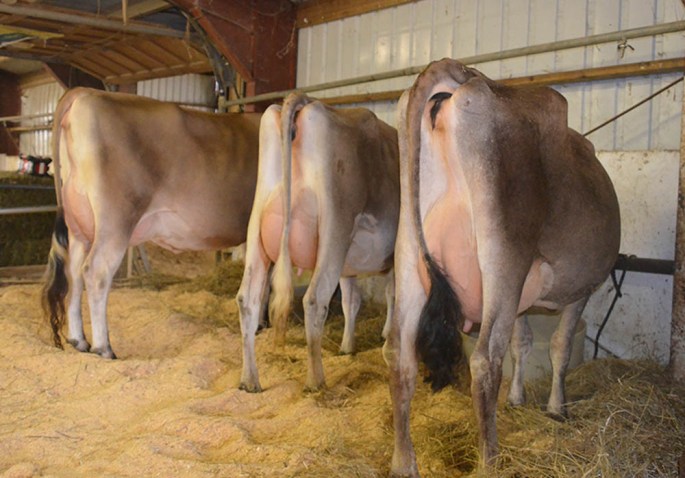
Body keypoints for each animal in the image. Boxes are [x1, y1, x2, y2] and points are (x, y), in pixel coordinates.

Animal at [43, 87, 261, 359]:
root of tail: (86, 92)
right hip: (115, 222)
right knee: (95, 272)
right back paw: (104, 348)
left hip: (79, 224)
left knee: (73, 273)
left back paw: (78, 341)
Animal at [236, 92, 400, 392]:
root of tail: (306, 101)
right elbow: (391, 294)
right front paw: (385, 335)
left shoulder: (350, 262)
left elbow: (352, 300)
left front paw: (348, 346)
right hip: (335, 227)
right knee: (314, 300)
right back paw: (316, 380)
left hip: (257, 228)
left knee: (247, 299)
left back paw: (249, 379)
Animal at [385, 58, 620, 476]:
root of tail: (466, 76)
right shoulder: (580, 289)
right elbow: (559, 346)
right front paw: (556, 408)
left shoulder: (524, 298)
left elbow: (522, 342)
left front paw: (517, 398)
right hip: (504, 256)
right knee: (484, 360)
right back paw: (490, 461)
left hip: (411, 253)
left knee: (400, 354)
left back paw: (403, 462)